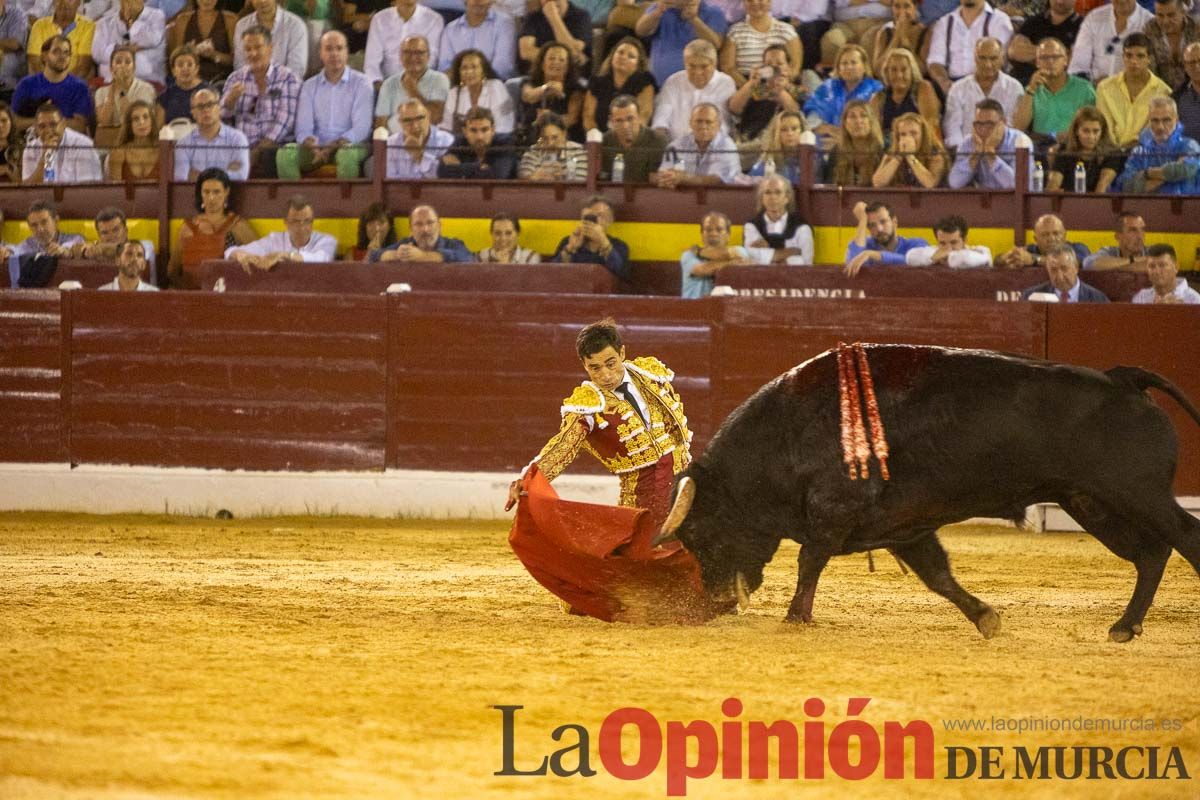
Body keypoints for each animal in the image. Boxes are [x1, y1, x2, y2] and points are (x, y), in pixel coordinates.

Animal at [652, 345, 1200, 642]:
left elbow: (810, 561)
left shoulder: (833, 515)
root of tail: (1121, 379)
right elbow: (938, 575)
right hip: (1090, 503)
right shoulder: (904, 528)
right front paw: (986, 618)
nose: (719, 598)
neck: (786, 437)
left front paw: (794, 618)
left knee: (1184, 535)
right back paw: (1125, 625)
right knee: (1150, 554)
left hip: (1137, 494)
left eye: (700, 532)